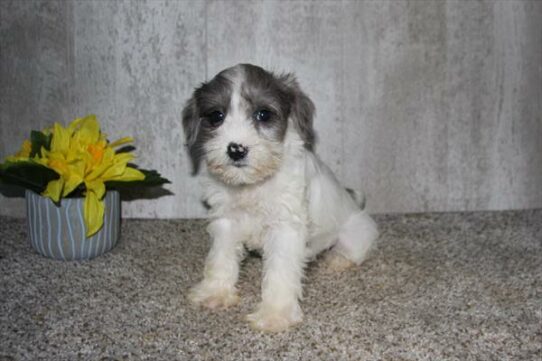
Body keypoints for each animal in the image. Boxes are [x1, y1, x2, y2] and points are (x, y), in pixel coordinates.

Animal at [182, 63, 378, 330]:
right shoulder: (226, 222)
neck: (253, 185)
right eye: (216, 116)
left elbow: (279, 273)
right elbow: (219, 259)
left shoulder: (285, 228)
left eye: (263, 114)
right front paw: (214, 293)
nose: (236, 149)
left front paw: (275, 315)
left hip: (356, 233)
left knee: (354, 250)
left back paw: (337, 260)